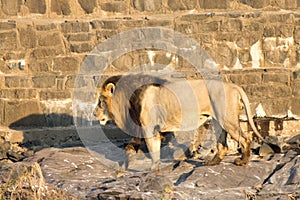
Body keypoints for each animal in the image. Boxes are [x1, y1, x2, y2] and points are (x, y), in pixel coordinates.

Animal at [94, 74, 276, 171]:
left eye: (100, 101)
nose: (94, 113)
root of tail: (234, 86)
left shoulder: (148, 128)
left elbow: (153, 150)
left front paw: (152, 170)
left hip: (227, 118)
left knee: (245, 138)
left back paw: (242, 161)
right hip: (219, 120)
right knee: (223, 144)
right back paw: (212, 162)